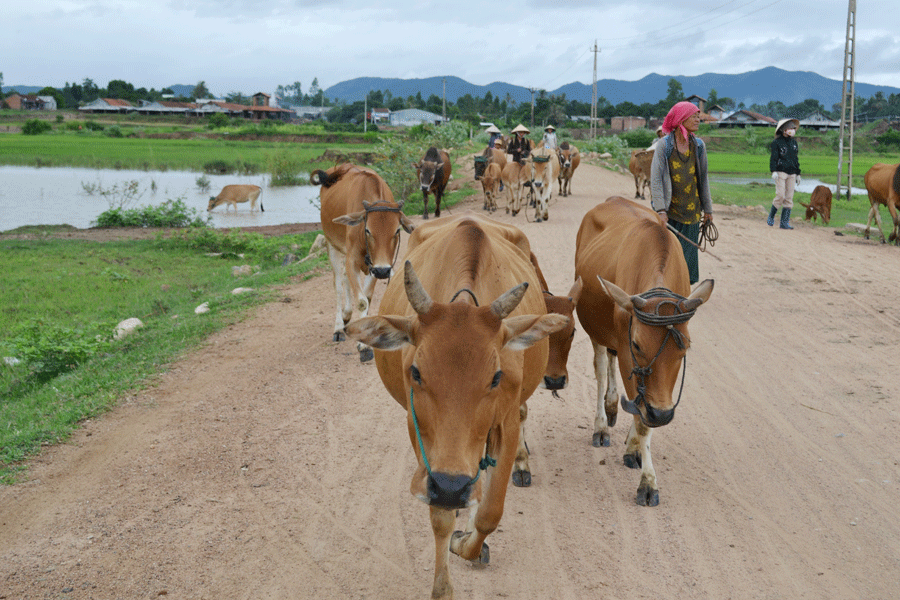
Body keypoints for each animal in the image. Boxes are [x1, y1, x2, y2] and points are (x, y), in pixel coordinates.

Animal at [312, 162, 416, 364]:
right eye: (368, 230)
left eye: (397, 230)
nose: (383, 272)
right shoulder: (354, 260)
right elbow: (361, 301)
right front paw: (364, 347)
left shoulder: (375, 267)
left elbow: (366, 298)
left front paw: (364, 341)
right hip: (332, 245)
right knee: (338, 284)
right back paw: (338, 327)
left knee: (345, 280)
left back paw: (347, 314)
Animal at [342, 213, 568, 596]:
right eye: (416, 371)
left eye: (495, 376)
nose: (452, 486)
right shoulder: (419, 433)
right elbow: (440, 515)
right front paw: (443, 586)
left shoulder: (505, 423)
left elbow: (491, 510)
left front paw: (468, 542)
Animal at [576, 197, 712, 506]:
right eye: (638, 344)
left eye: (685, 346)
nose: (662, 415)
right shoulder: (629, 357)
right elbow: (642, 419)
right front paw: (648, 482)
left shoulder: (658, 390)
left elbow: (643, 414)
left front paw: (635, 449)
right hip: (595, 330)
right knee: (601, 369)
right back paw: (601, 424)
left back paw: (614, 408)